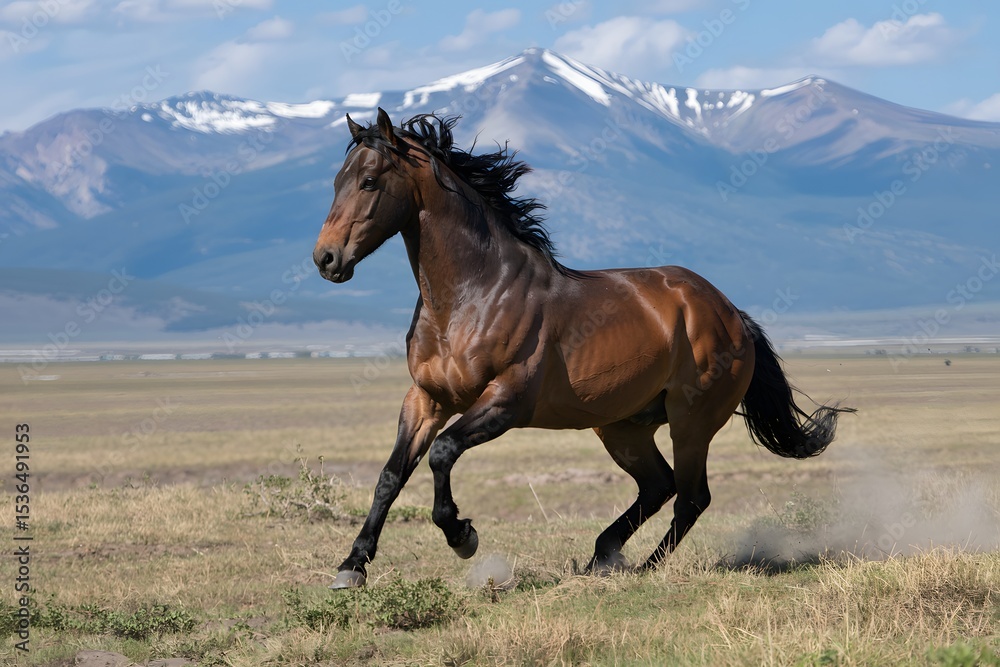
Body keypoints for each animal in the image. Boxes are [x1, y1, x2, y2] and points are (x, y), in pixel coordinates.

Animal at [312, 108, 853, 589]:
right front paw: (352, 567)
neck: (472, 296)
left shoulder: (507, 401)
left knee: (691, 496)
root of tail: (730, 312)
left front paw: (462, 535)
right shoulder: (426, 399)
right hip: (622, 427)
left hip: (691, 421)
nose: (326, 258)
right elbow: (390, 475)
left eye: (369, 182)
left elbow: (443, 453)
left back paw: (644, 567)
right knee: (659, 486)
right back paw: (603, 556)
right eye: (336, 181)